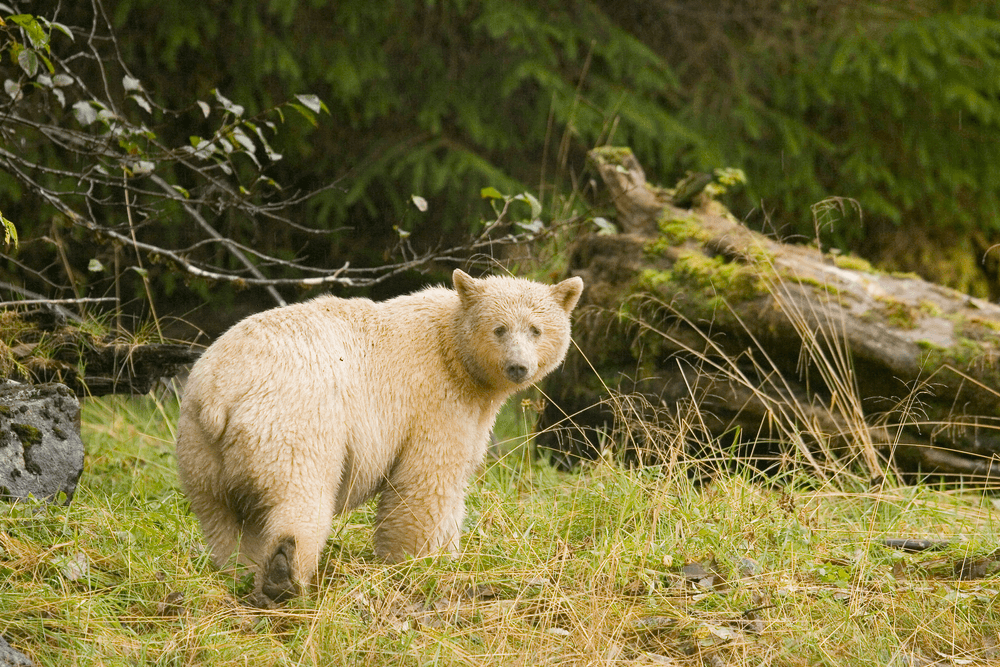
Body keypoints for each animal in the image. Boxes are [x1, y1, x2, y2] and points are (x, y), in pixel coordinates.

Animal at [175, 268, 584, 604]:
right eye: (499, 328)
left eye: (535, 329)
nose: (518, 367)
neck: (454, 352)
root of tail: (220, 393)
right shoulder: (433, 400)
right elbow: (426, 482)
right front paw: (419, 562)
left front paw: (447, 554)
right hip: (295, 421)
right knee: (299, 497)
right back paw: (284, 576)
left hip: (199, 447)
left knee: (223, 520)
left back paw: (243, 572)